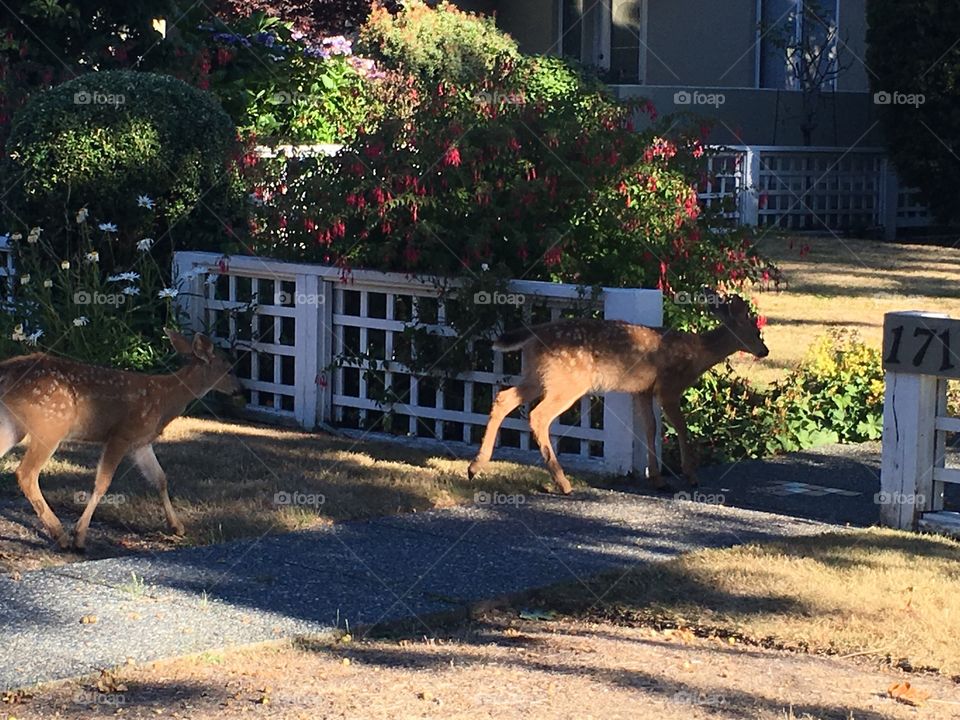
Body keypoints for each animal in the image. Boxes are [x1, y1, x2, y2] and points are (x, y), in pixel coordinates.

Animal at [0, 332, 244, 552]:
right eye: (230, 369)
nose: (240, 390)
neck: (165, 398)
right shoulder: (121, 434)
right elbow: (103, 482)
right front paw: (80, 536)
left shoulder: (141, 443)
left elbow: (160, 478)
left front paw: (177, 526)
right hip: (51, 425)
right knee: (26, 473)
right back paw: (60, 535)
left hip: (15, 425)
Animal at [468, 292, 768, 496]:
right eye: (756, 332)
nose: (765, 351)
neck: (697, 353)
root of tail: (534, 334)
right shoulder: (668, 386)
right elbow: (681, 428)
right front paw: (690, 475)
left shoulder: (643, 391)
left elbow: (650, 428)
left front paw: (658, 479)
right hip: (567, 382)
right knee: (538, 416)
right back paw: (563, 483)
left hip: (537, 376)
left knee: (503, 398)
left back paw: (475, 466)